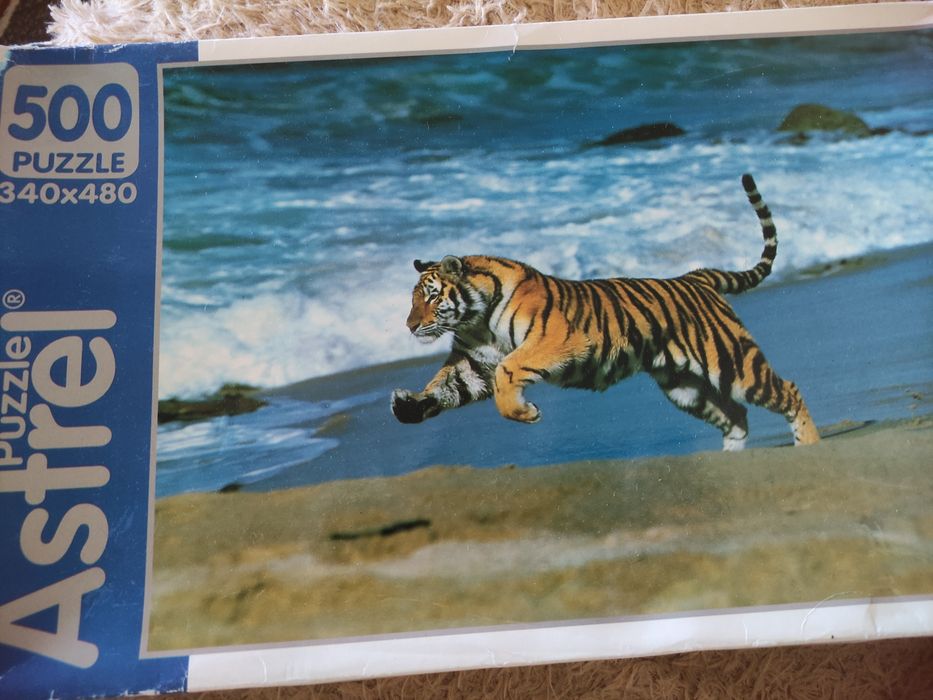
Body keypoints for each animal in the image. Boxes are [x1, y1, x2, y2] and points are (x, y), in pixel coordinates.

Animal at [390, 174, 820, 451]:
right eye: (413, 300)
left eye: (431, 297)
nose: (410, 326)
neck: (476, 318)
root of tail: (695, 276)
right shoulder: (474, 361)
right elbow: (447, 385)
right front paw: (408, 405)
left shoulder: (557, 340)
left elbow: (508, 372)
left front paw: (524, 412)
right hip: (685, 387)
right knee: (737, 417)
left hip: (732, 362)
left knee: (787, 391)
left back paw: (809, 445)